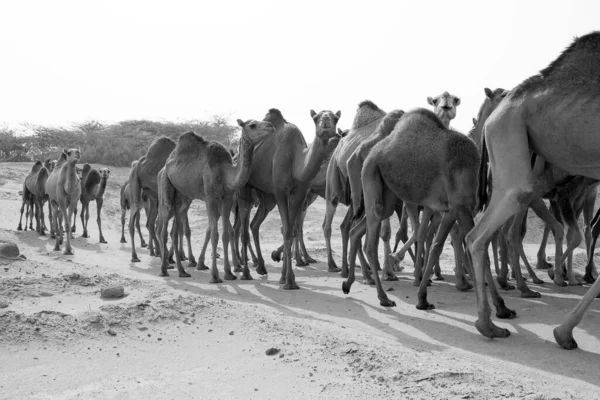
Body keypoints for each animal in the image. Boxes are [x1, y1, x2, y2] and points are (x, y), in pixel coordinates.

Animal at [157, 120, 274, 280]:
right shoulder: (210, 197)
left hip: (182, 197)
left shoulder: (227, 198)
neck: (224, 172)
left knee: (175, 229)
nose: (270, 126)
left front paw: (229, 273)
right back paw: (164, 269)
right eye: (252, 125)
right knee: (164, 225)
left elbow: (225, 234)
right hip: (166, 184)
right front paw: (215, 276)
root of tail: (166, 164)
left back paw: (182, 271)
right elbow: (214, 234)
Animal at [238, 107, 342, 288]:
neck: (295, 160)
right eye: (315, 118)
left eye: (335, 118)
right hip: (246, 188)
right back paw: (245, 272)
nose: (325, 122)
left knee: (254, 225)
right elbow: (286, 230)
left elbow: (291, 229)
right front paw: (289, 280)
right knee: (243, 230)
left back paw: (261, 267)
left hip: (267, 198)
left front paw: (284, 276)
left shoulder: (298, 193)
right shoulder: (280, 192)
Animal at [466, 32, 600, 350]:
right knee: (481, 235)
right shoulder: (562, 194)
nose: (505, 92)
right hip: (512, 142)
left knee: (495, 233)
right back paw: (494, 317)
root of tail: (495, 119)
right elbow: (566, 232)